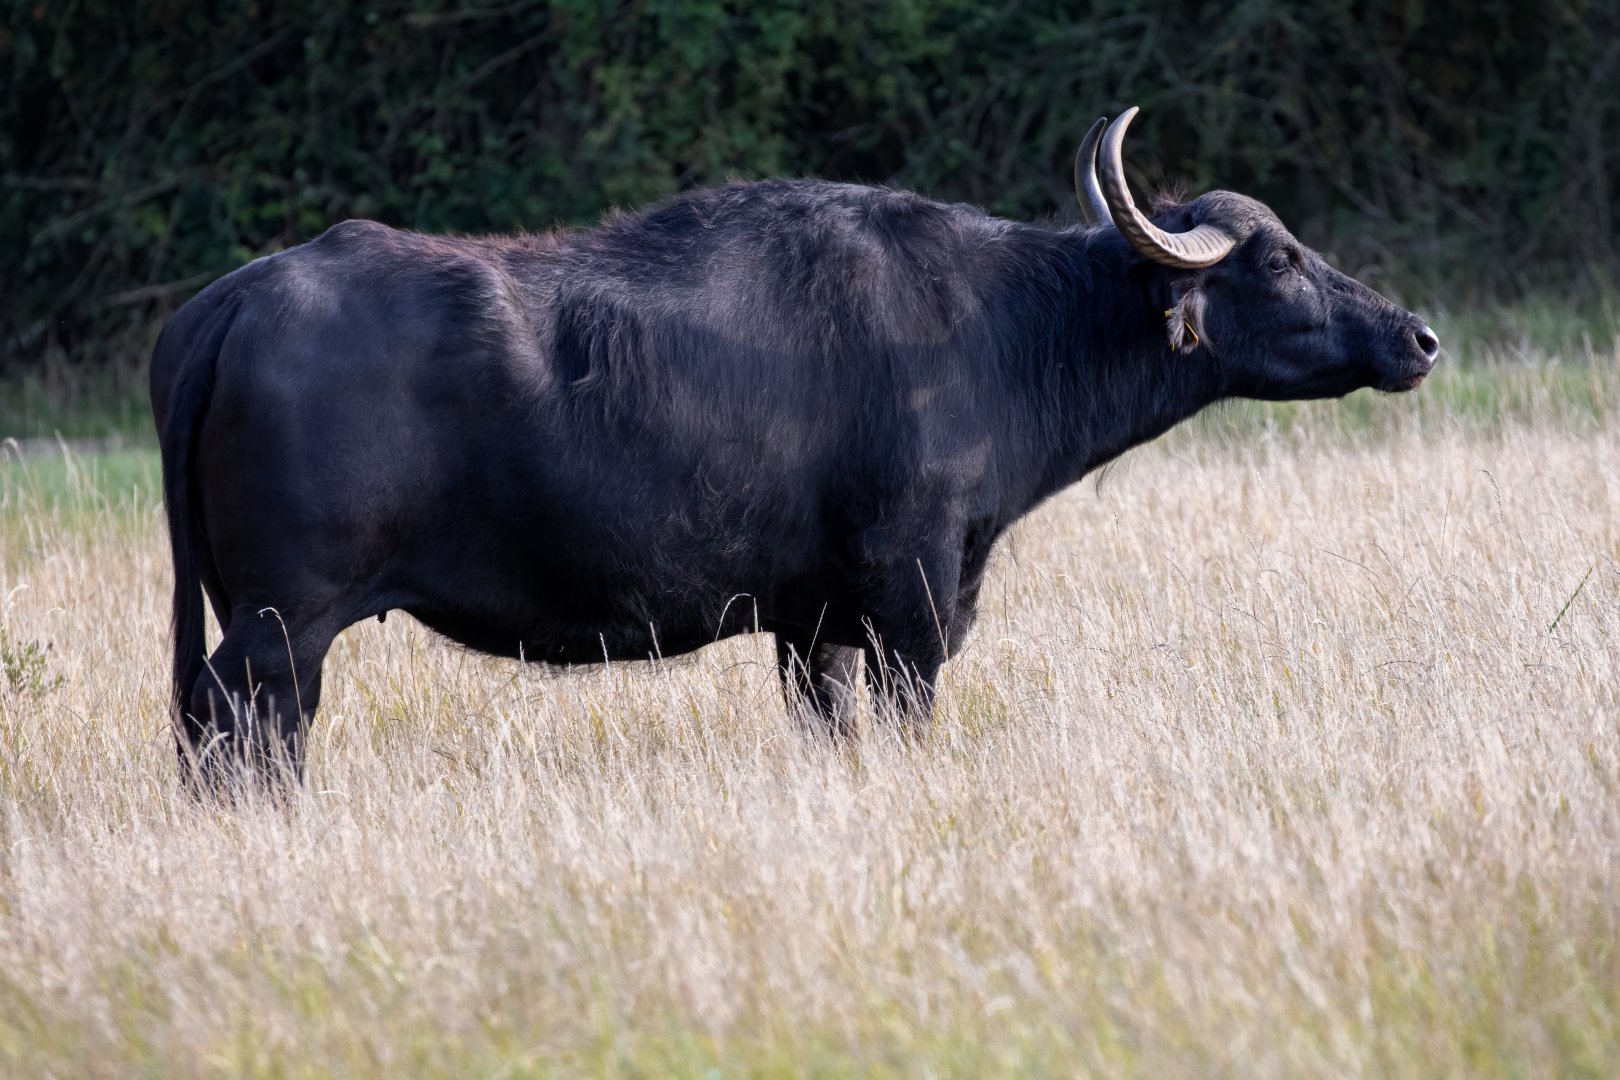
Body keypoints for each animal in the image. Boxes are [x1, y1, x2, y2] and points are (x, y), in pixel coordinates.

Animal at [151, 107, 1438, 787]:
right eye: (1277, 258)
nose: (1418, 336)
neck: (997, 327)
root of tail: (231, 303)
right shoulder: (910, 603)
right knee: (241, 733)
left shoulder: (813, 629)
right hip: (281, 627)